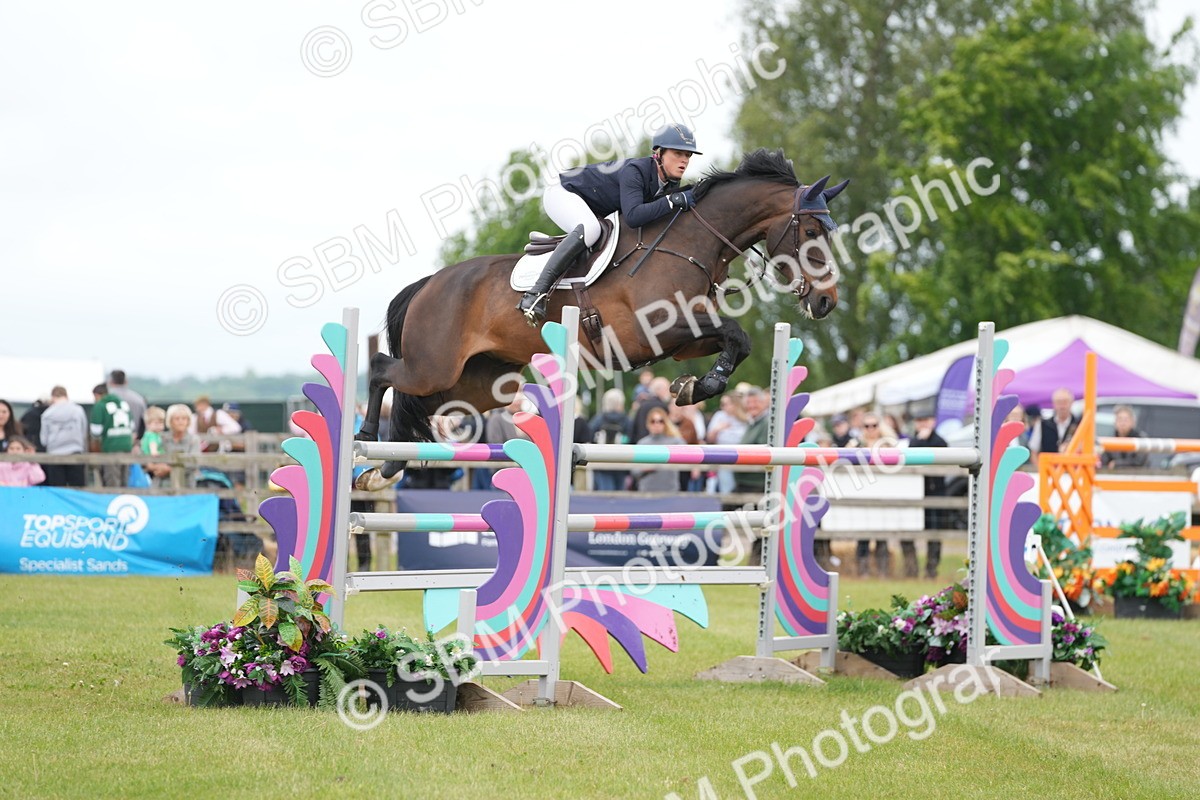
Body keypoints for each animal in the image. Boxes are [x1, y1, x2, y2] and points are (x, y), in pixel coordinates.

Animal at [355, 148, 848, 488]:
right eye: (810, 230)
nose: (827, 301)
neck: (687, 243)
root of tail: (430, 283)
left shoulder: (682, 339)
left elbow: (736, 341)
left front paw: (693, 387)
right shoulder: (656, 328)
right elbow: (735, 331)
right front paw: (696, 387)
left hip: (481, 385)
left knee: (418, 402)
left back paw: (388, 466)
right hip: (435, 365)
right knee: (382, 370)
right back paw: (366, 437)